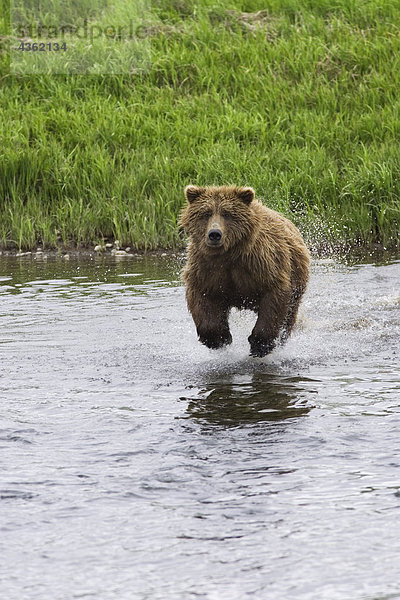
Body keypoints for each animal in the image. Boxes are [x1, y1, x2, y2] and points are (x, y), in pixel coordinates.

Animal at [180, 185, 310, 358]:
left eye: (227, 214)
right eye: (206, 213)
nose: (214, 234)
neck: (228, 254)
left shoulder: (261, 265)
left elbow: (274, 297)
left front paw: (260, 345)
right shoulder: (206, 270)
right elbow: (201, 297)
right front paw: (219, 339)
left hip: (297, 278)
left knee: (289, 314)